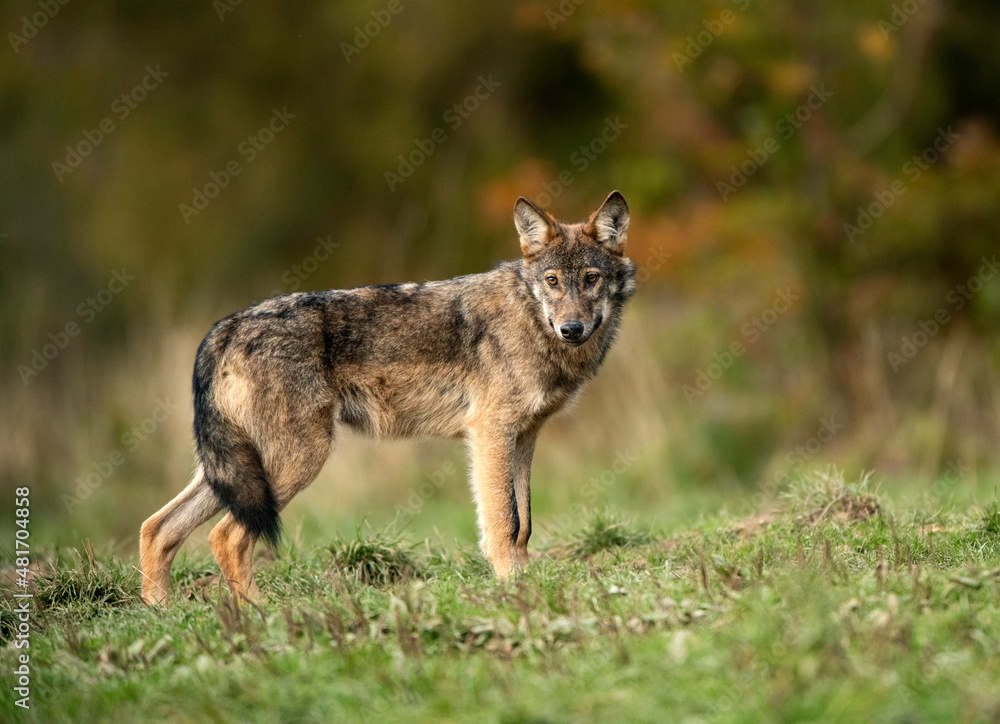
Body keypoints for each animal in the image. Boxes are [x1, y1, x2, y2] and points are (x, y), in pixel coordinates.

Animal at [140, 191, 635, 604]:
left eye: (591, 279)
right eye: (552, 281)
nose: (571, 328)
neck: (531, 320)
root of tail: (223, 328)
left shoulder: (525, 437)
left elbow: (524, 523)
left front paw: (525, 580)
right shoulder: (491, 434)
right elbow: (503, 520)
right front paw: (514, 586)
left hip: (235, 473)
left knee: (157, 528)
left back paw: (161, 612)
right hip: (294, 461)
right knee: (225, 537)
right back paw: (259, 615)